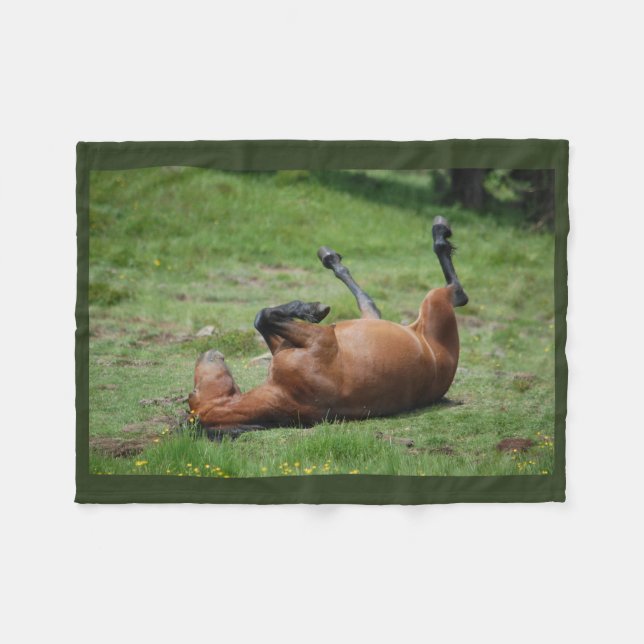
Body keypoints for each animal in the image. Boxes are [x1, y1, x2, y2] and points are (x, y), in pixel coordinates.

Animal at [188, 216, 468, 438]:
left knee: (369, 303)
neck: (284, 396)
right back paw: (440, 230)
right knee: (458, 292)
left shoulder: (285, 345)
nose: (206, 354)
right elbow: (265, 315)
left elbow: (261, 318)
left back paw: (330, 257)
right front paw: (313, 309)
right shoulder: (320, 338)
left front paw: (310, 308)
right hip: (435, 302)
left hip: (378, 320)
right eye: (194, 389)